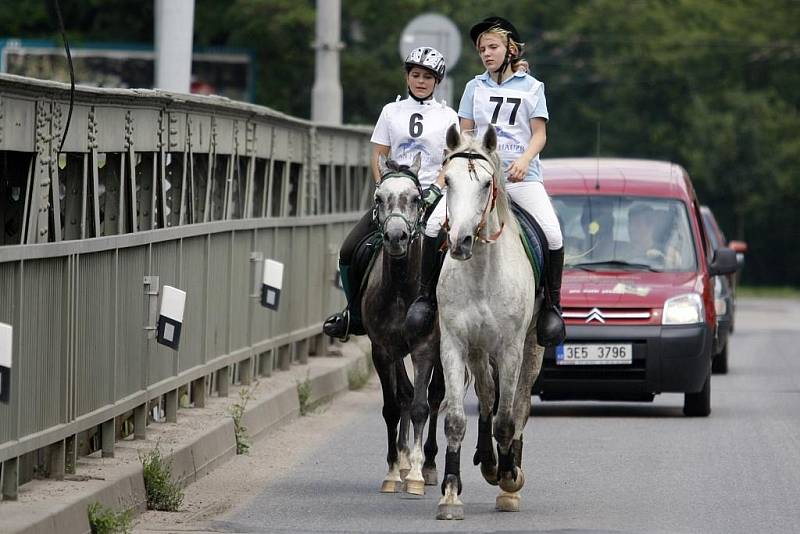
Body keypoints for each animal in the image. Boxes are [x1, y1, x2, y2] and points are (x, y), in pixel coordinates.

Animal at [434, 124, 548, 520]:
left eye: (486, 184)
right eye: (448, 180)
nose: (460, 242)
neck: (482, 271)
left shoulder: (512, 349)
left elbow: (508, 418)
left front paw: (509, 478)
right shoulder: (454, 345)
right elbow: (456, 419)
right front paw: (450, 494)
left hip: (530, 349)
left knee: (518, 405)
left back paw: (508, 475)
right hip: (479, 351)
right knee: (486, 397)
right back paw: (487, 461)